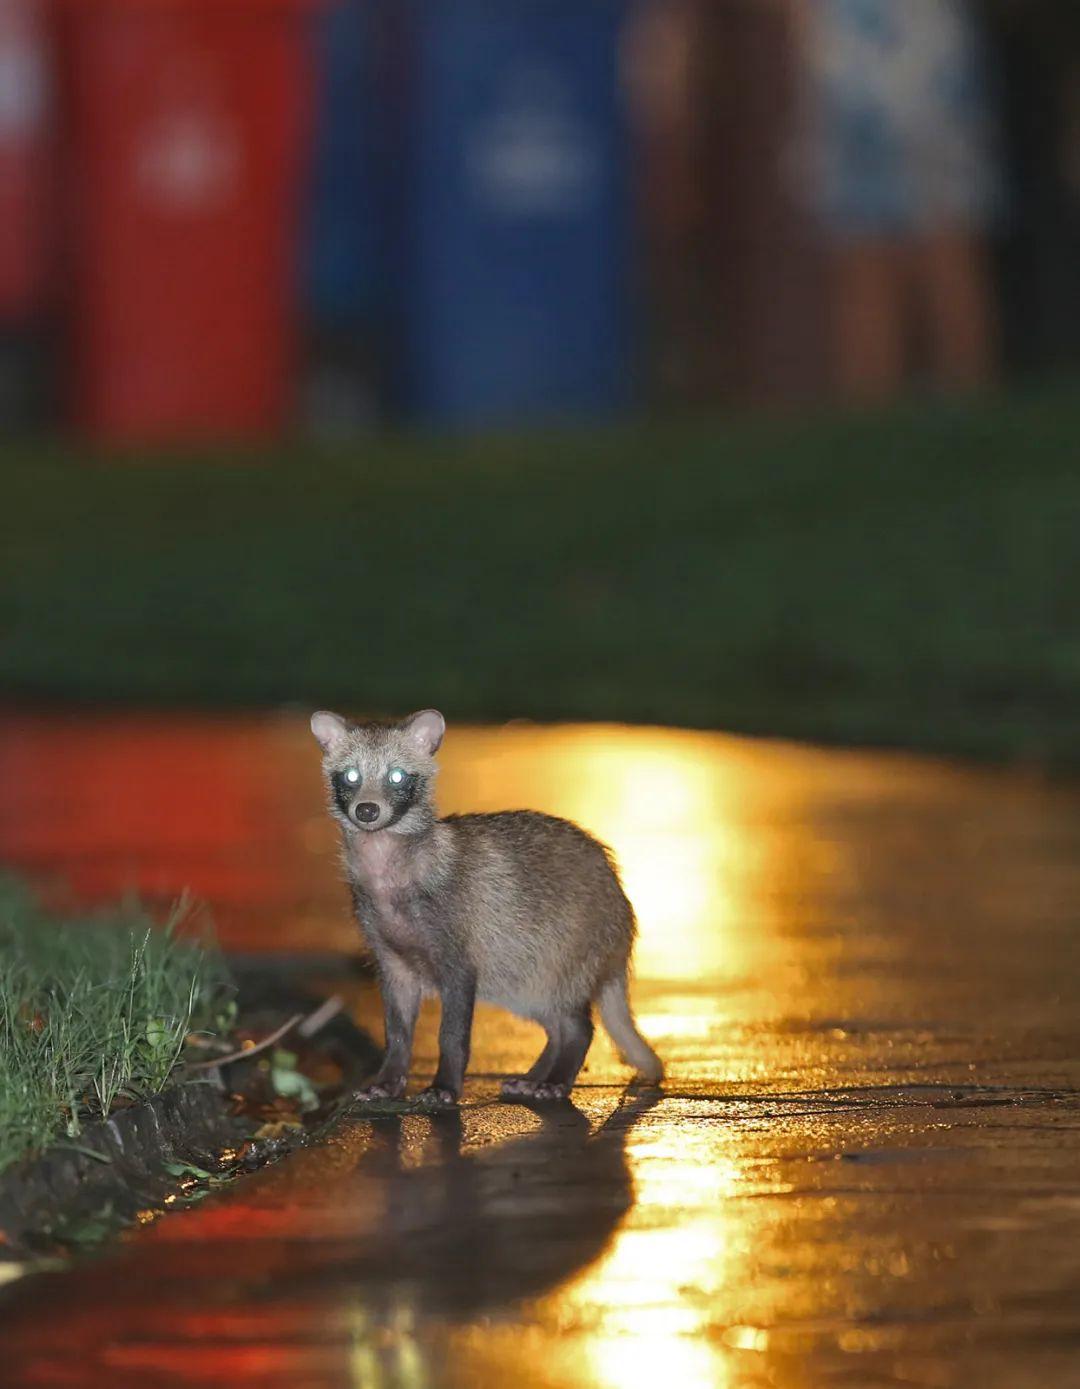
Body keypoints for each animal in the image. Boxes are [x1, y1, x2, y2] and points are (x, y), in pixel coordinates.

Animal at [310, 711, 660, 1100]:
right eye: (350, 775)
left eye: (397, 775)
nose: (367, 810)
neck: (386, 870)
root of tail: (620, 900)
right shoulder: (389, 955)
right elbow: (397, 1030)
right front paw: (388, 1077)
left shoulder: (458, 950)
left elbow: (452, 1033)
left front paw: (445, 1084)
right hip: (522, 975)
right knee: (554, 1023)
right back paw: (535, 1075)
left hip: (567, 953)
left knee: (576, 1024)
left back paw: (556, 1078)